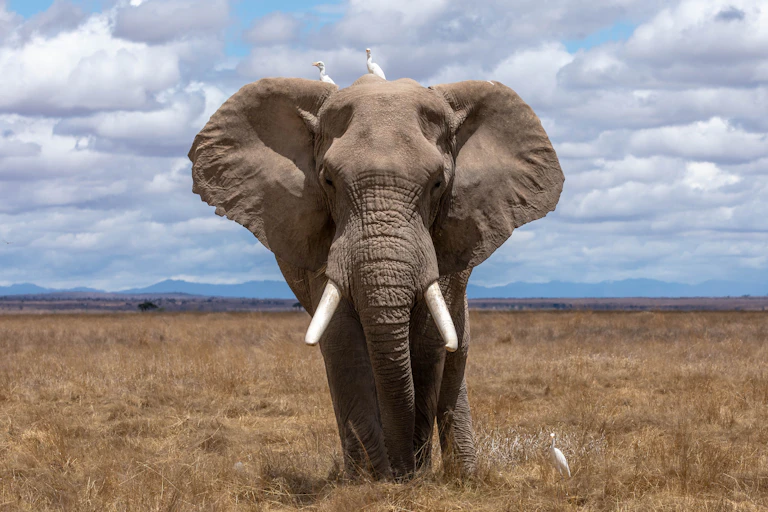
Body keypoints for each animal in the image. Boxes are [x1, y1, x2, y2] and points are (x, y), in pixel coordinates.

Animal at [188, 74, 564, 480]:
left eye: (437, 183)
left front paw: (411, 476)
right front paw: (372, 481)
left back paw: (463, 475)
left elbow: (428, 343)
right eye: (328, 181)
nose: (403, 472)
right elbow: (343, 341)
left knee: (455, 354)